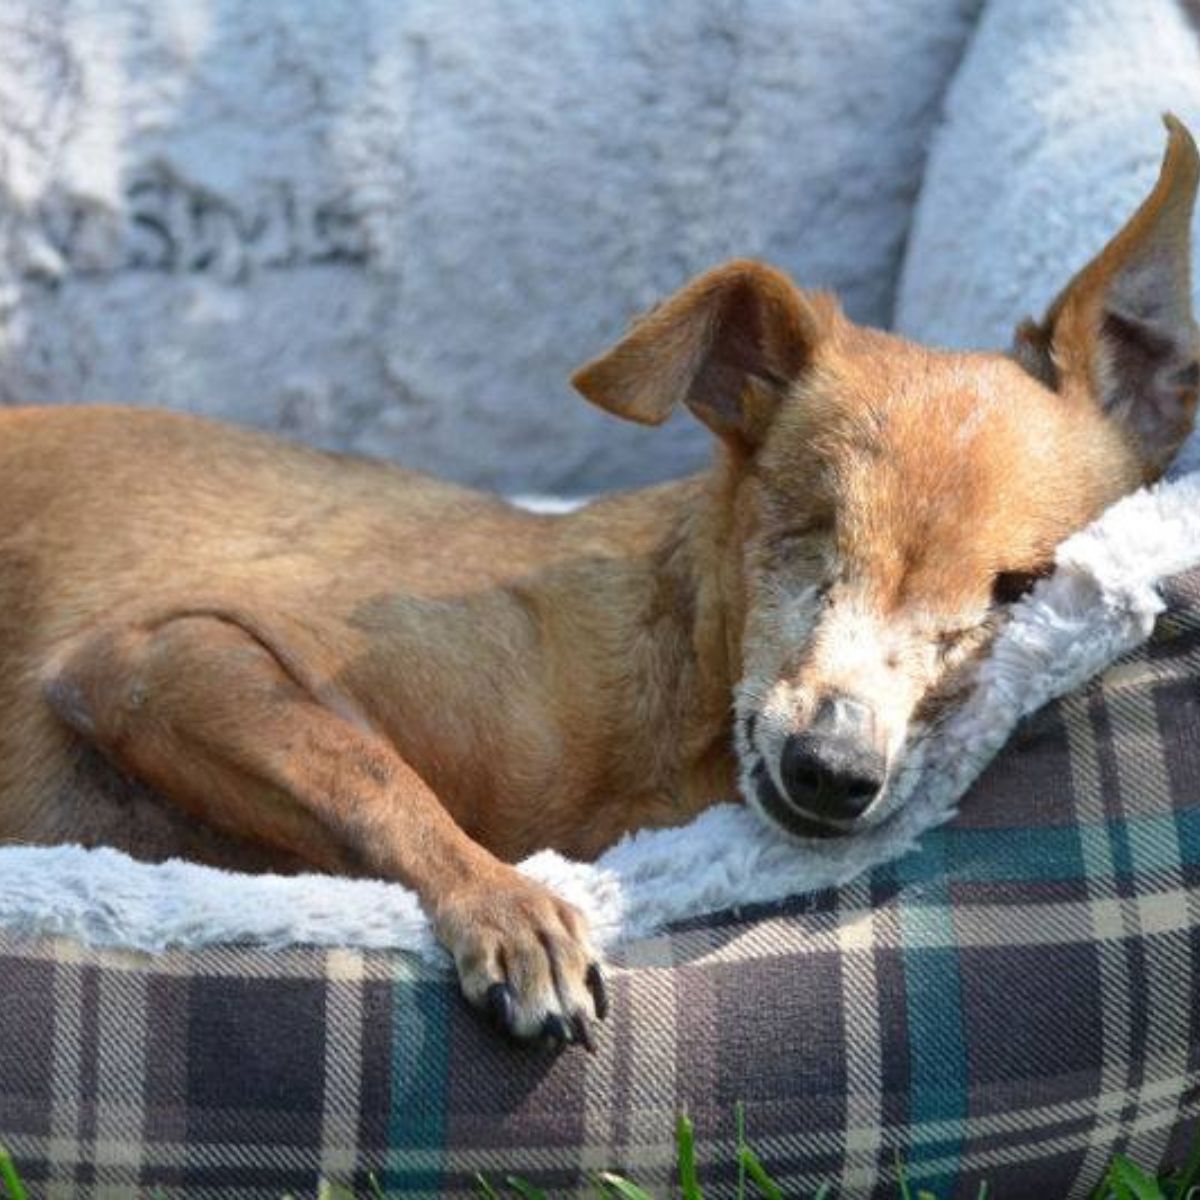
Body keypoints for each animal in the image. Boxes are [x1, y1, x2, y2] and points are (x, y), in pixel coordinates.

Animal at [0, 114, 1195, 1051]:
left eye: (1019, 588)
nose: (830, 771)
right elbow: (374, 770)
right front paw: (506, 902)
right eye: (805, 530)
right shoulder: (155, 654)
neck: (669, 715)